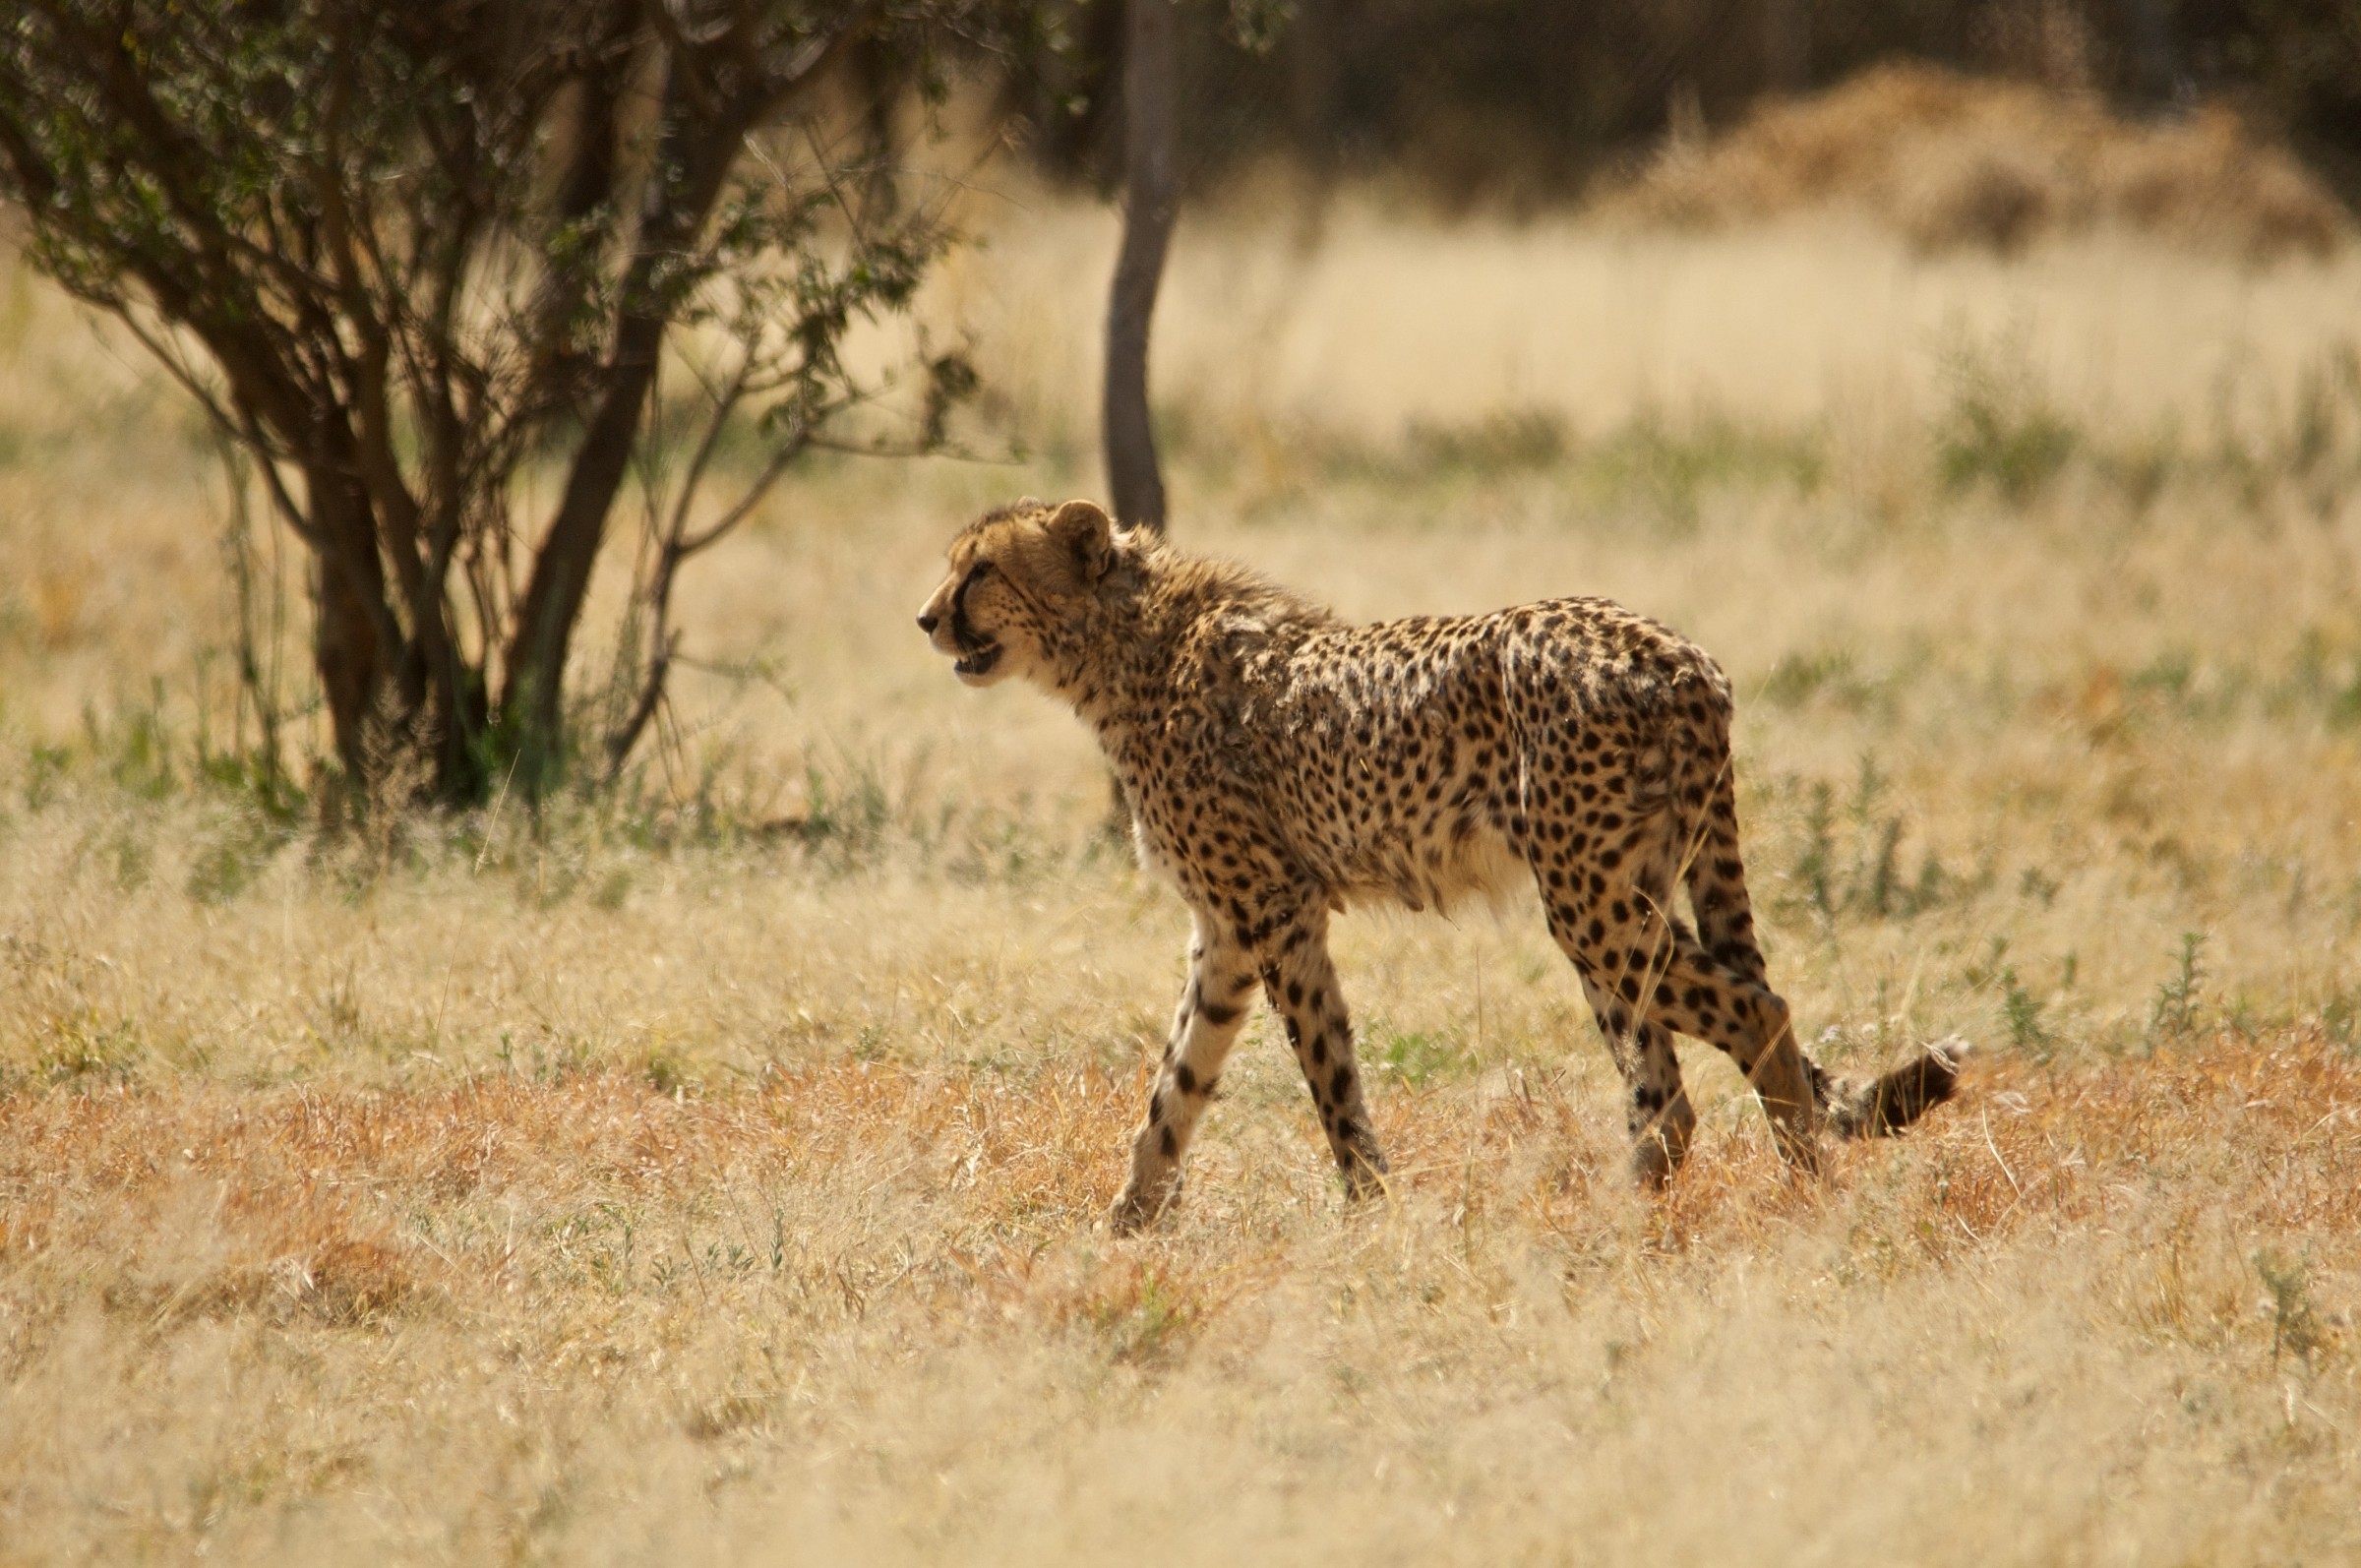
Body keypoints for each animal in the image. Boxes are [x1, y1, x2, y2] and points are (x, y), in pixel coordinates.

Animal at [918, 497, 1968, 1233]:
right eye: (955, 566)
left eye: (981, 570)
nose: (926, 618)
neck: (1125, 644)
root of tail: (1680, 655)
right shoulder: (1226, 930)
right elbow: (1178, 1080)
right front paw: (1126, 1225)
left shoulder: (1273, 911)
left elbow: (1327, 1074)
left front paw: (1366, 1210)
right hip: (1624, 891)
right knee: (1668, 1092)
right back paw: (1626, 1207)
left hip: (1587, 900)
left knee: (1755, 1016)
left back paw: (1799, 1193)